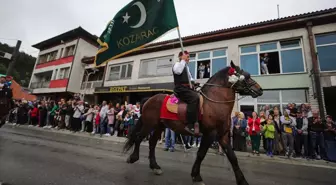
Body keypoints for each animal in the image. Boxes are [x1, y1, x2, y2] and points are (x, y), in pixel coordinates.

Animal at [123, 61, 262, 185]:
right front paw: (196, 176)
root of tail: (149, 99)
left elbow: (233, 157)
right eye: (246, 76)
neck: (214, 103)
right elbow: (201, 154)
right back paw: (133, 158)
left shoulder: (223, 136)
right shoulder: (210, 134)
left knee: (151, 143)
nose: (260, 89)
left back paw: (155, 166)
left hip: (159, 126)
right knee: (139, 138)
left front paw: (242, 180)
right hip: (149, 124)